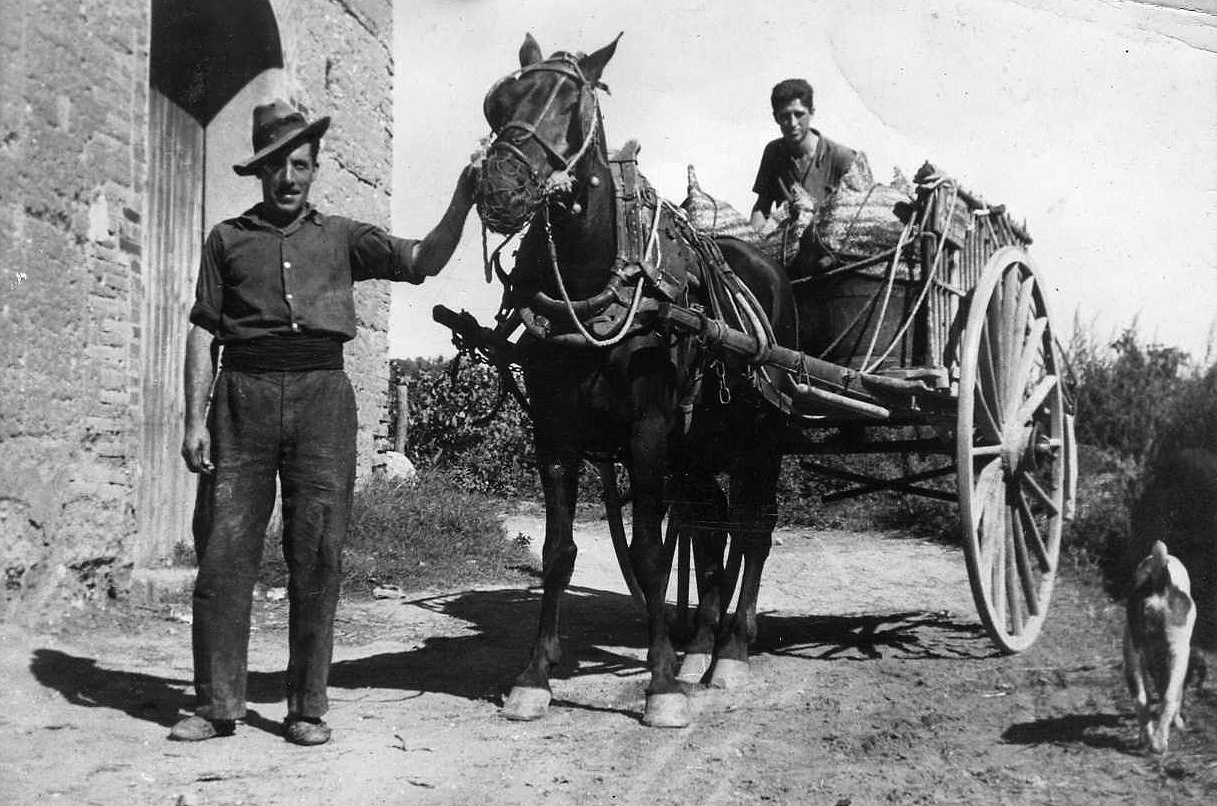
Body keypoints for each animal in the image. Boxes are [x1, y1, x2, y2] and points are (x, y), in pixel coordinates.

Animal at [474, 31, 798, 730]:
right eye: (498, 103)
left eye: (572, 106)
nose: (500, 190)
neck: (599, 282)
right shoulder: (555, 433)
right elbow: (558, 552)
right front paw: (534, 678)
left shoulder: (649, 431)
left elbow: (651, 554)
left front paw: (662, 686)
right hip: (700, 444)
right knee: (710, 528)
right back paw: (700, 641)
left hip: (762, 434)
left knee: (754, 529)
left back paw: (731, 652)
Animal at [1119, 540, 1197, 754]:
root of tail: (1160, 579)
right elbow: (1174, 694)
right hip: (1180, 652)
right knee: (1169, 697)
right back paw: (1159, 744)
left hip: (1131, 652)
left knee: (1141, 698)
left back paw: (1146, 740)